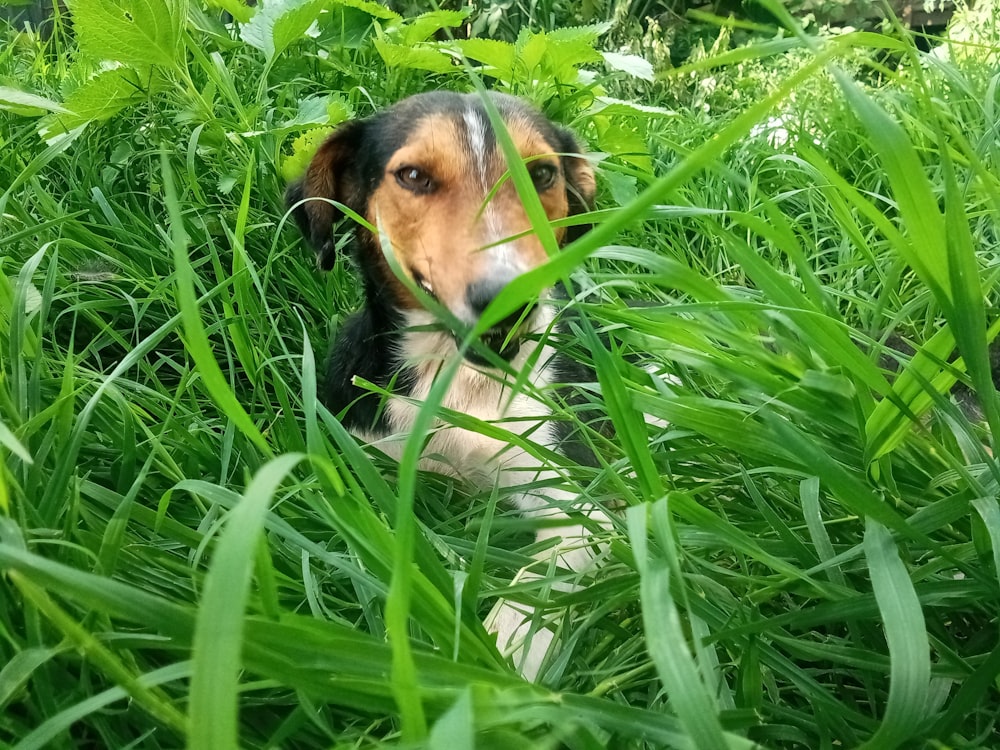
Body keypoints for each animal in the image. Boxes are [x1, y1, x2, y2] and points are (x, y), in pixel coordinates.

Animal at [284, 91, 608, 680]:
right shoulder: (358, 466)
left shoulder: (583, 508)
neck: (459, 381)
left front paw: (491, 661)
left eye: (542, 174)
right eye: (413, 176)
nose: (511, 300)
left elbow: (534, 587)